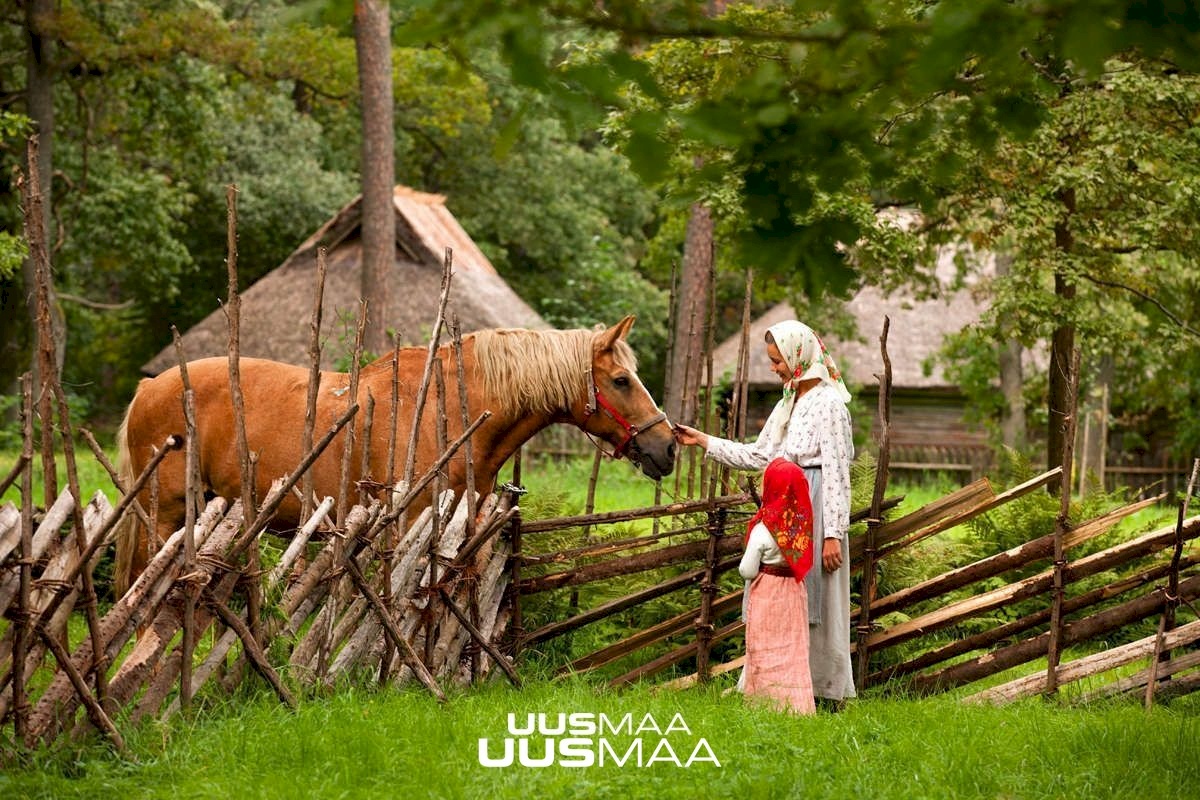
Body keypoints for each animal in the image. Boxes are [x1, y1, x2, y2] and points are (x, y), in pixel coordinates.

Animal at [112, 316, 676, 592]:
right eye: (621, 380)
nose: (668, 446)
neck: (452, 411)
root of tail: (148, 388)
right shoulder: (410, 526)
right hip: (164, 516)